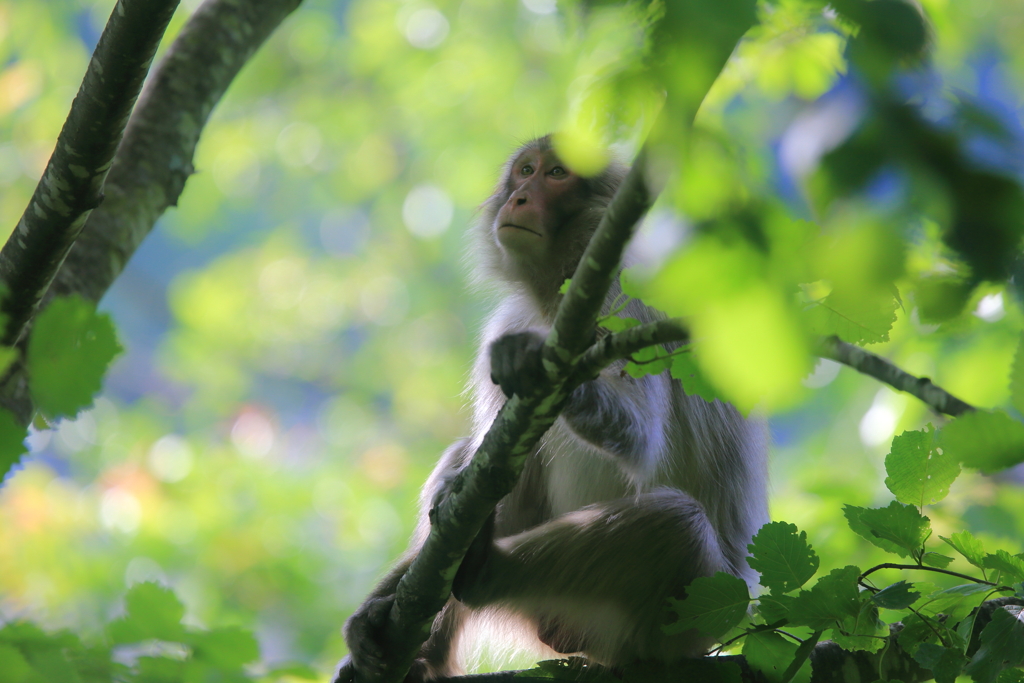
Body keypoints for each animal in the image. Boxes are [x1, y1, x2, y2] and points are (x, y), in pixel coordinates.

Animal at [335, 136, 770, 679]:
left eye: (557, 174)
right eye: (525, 171)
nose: (520, 198)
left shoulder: (622, 297)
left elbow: (642, 433)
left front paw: (540, 365)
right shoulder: (512, 321)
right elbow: (500, 474)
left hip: (681, 620)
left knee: (677, 523)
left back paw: (482, 570)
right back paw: (419, 644)